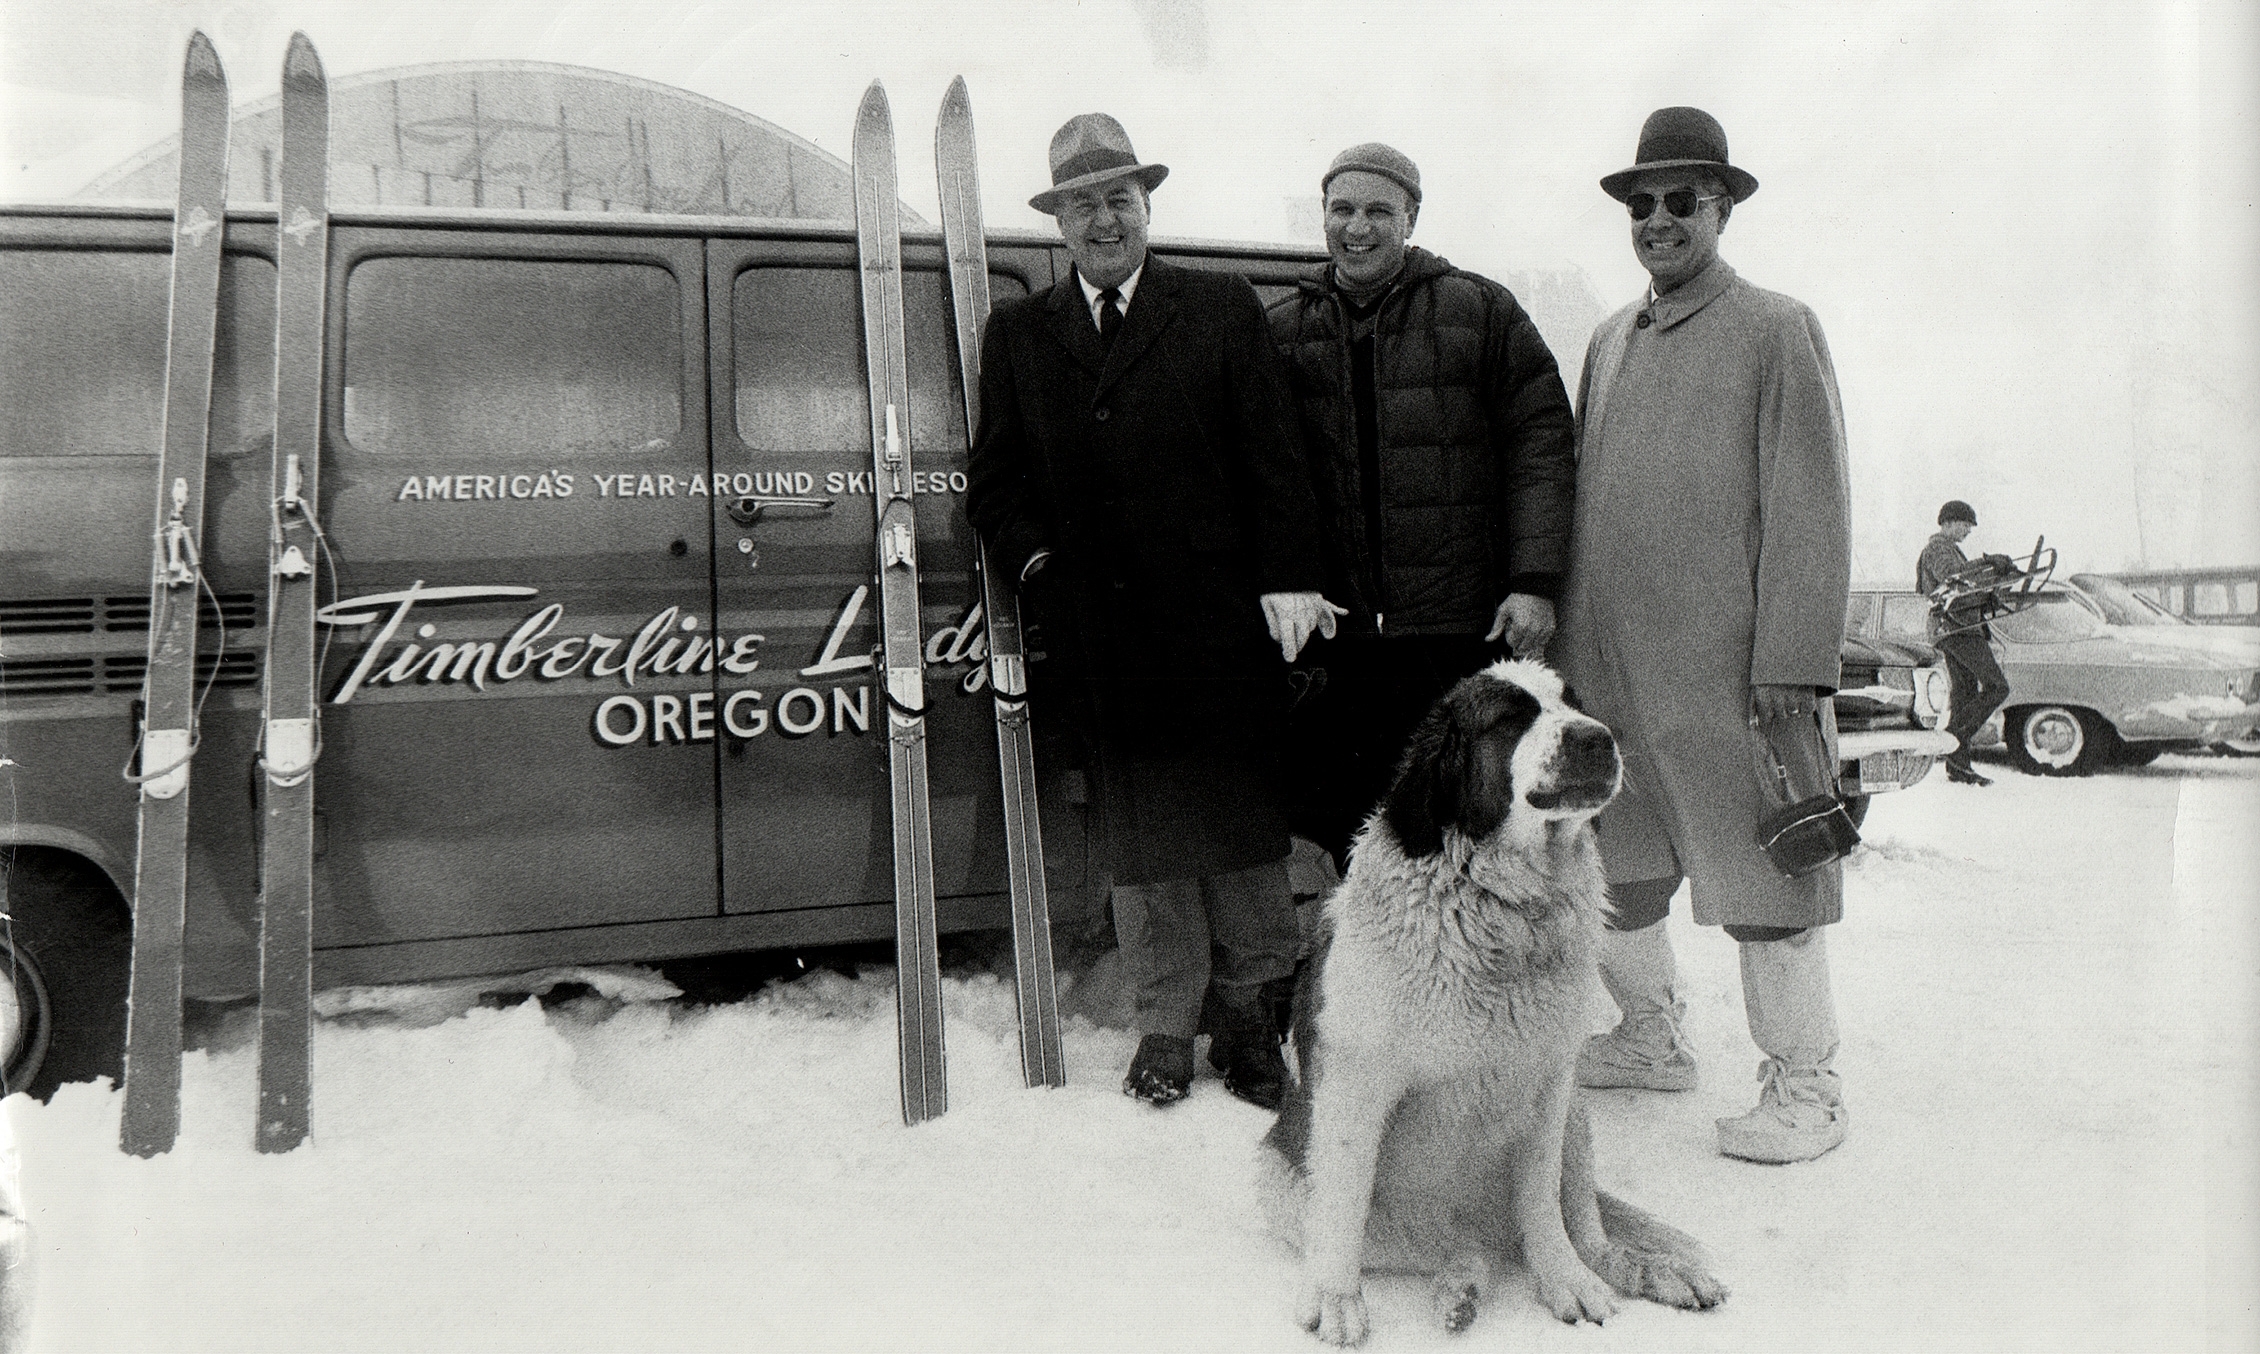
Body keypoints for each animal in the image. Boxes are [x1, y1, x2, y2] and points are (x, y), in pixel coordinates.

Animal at [1265, 660, 1717, 1347]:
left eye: (1573, 704)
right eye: (1508, 720)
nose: (1597, 738)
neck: (1505, 905)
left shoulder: (1550, 1088)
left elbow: (1543, 1204)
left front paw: (1565, 1283)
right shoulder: (1353, 1091)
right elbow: (1341, 1207)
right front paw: (1337, 1301)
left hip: (1577, 1122)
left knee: (1582, 1234)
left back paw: (1648, 1271)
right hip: (1286, 1188)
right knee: (1450, 1246)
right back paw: (1460, 1289)